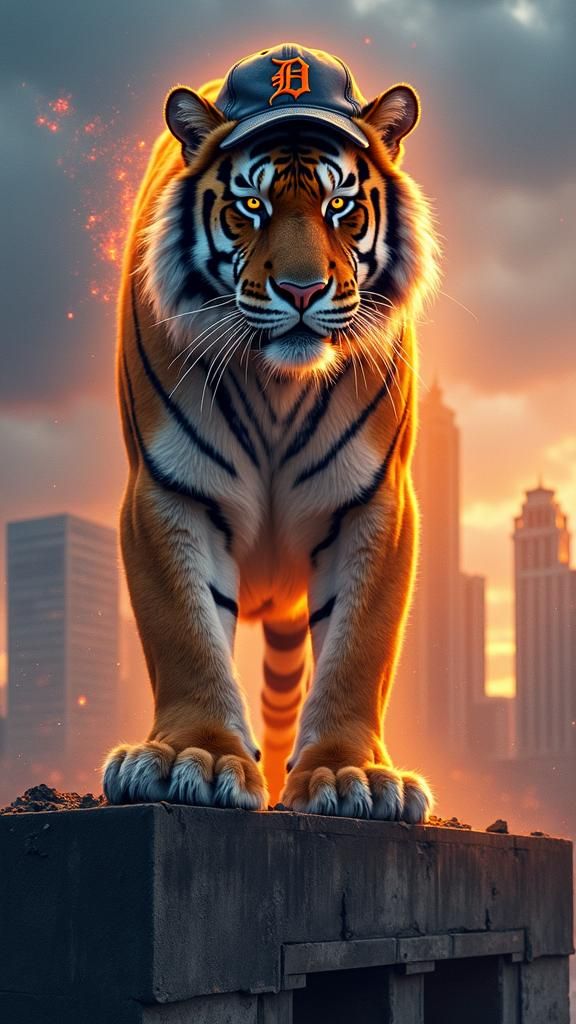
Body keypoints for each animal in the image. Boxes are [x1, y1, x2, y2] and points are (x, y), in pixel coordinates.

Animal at [102, 43, 439, 821]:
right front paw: (193, 757)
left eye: (339, 204)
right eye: (250, 206)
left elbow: (358, 645)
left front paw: (350, 774)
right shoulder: (168, 492)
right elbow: (185, 629)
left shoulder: (375, 503)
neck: (278, 384)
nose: (302, 290)